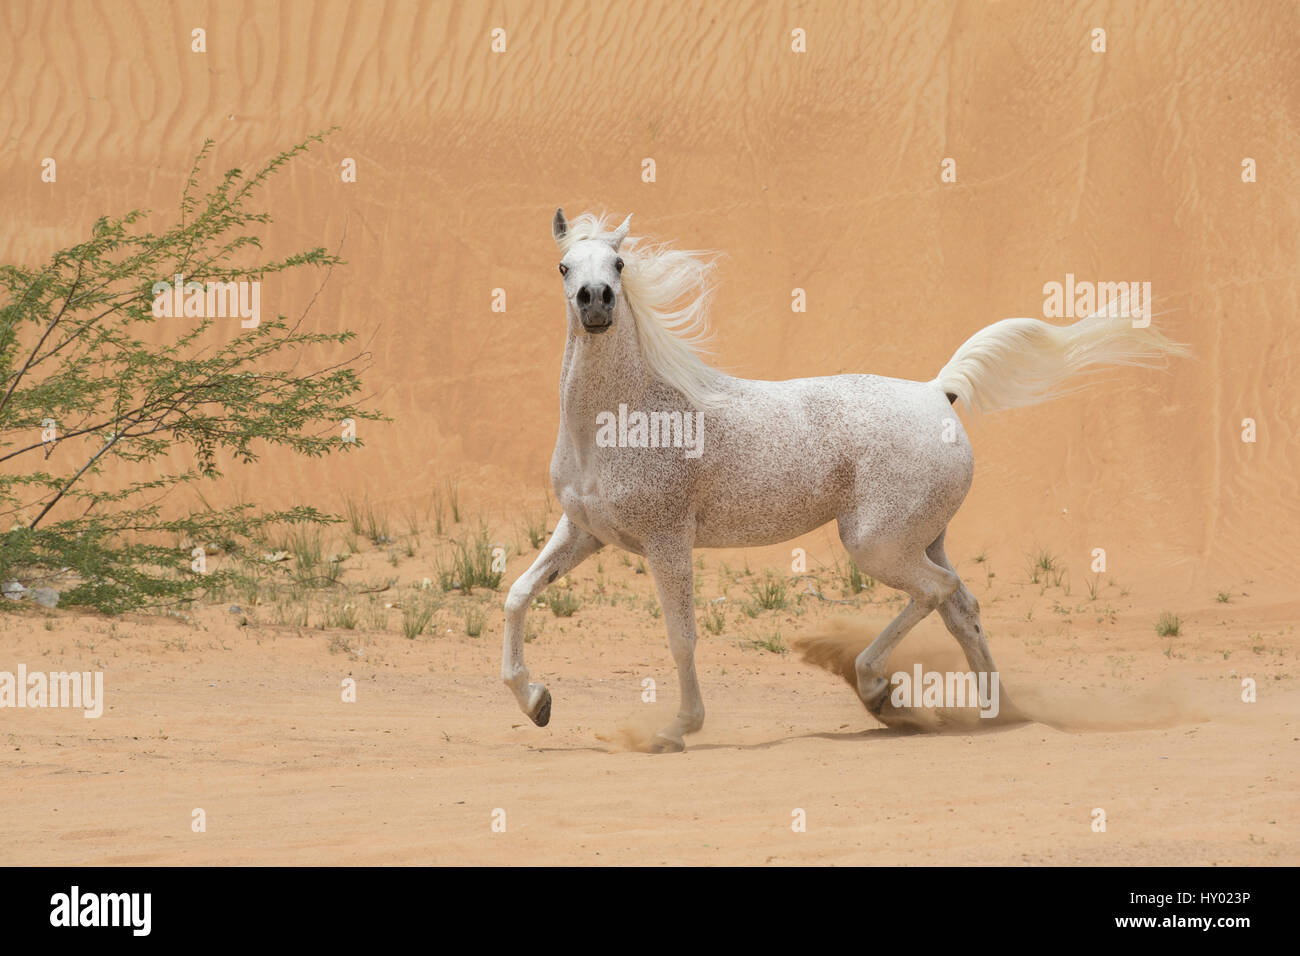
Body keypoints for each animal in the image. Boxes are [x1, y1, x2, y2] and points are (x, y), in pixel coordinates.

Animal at [499, 209, 1190, 754]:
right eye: (564, 266)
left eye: (618, 263)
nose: (596, 302)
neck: (625, 418)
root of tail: (938, 391)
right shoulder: (584, 532)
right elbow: (518, 594)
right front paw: (536, 701)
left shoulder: (668, 543)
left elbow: (681, 638)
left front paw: (677, 729)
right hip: (921, 538)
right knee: (961, 606)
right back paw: (994, 712)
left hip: (876, 544)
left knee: (936, 593)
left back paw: (878, 689)